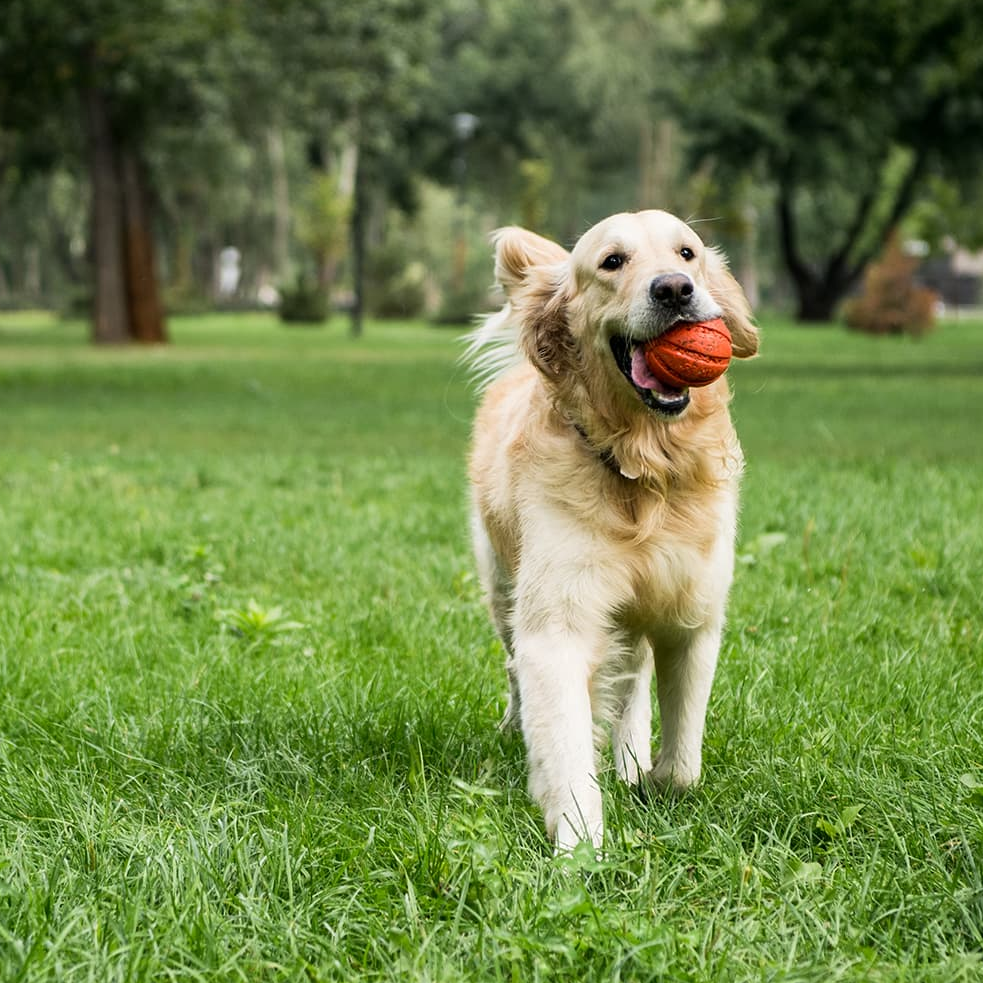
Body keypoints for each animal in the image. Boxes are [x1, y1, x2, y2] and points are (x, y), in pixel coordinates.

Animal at [468, 209, 760, 852]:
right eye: (611, 262)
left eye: (687, 252)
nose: (674, 289)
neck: (643, 469)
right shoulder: (556, 622)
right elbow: (565, 740)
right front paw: (580, 845)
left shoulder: (692, 616)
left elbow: (684, 761)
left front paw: (652, 779)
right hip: (502, 585)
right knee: (515, 668)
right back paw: (515, 728)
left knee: (632, 681)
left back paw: (628, 759)